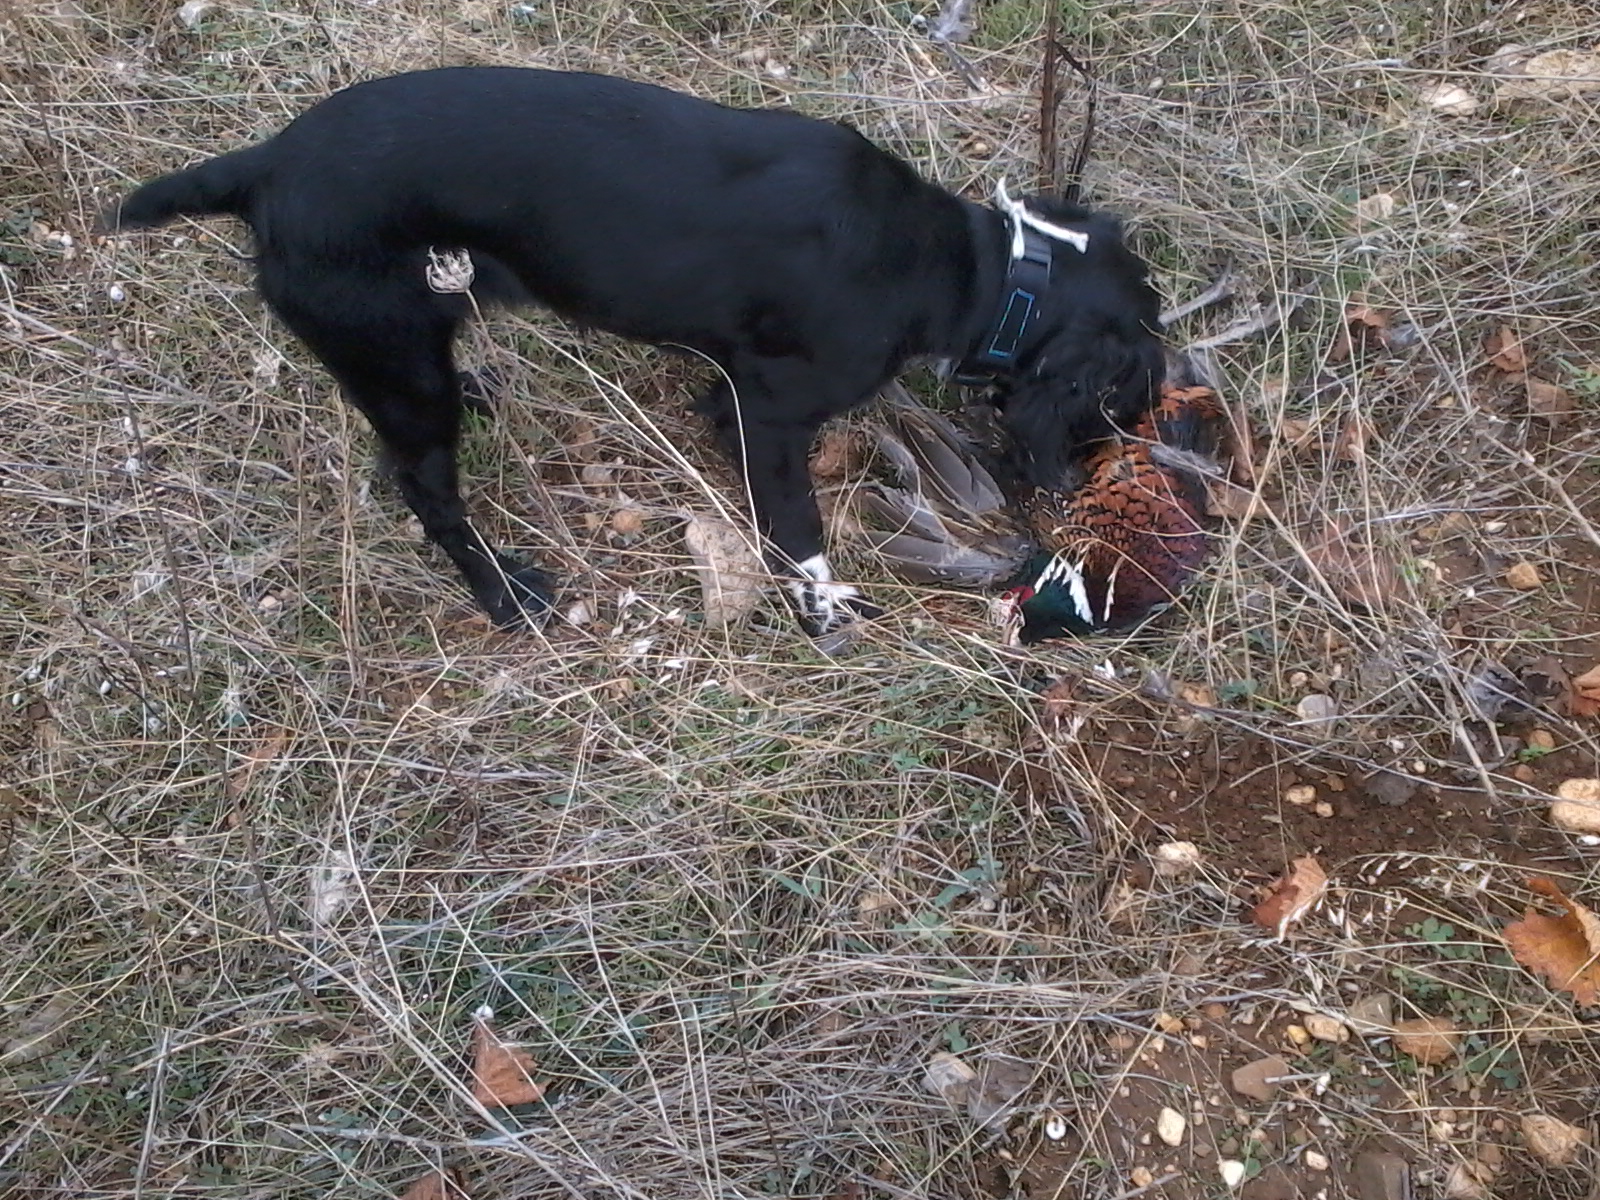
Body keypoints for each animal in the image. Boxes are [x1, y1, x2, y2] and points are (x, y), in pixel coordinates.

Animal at [102, 66, 1163, 637]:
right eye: (1129, 388)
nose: (1104, 466)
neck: (974, 267)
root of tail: (264, 167)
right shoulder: (770, 413)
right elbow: (796, 529)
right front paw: (825, 606)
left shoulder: (727, 395)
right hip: (395, 361)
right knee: (429, 495)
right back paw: (503, 594)